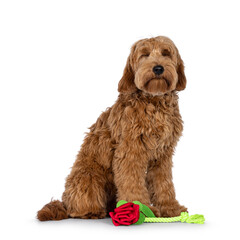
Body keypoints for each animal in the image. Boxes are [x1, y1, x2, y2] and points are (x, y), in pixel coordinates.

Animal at [37, 35, 188, 221]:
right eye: (145, 54)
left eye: (166, 53)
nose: (158, 68)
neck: (154, 102)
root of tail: (64, 202)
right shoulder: (130, 152)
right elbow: (132, 182)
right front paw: (140, 208)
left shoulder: (162, 155)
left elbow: (163, 184)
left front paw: (170, 208)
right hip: (90, 178)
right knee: (77, 208)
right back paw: (94, 212)